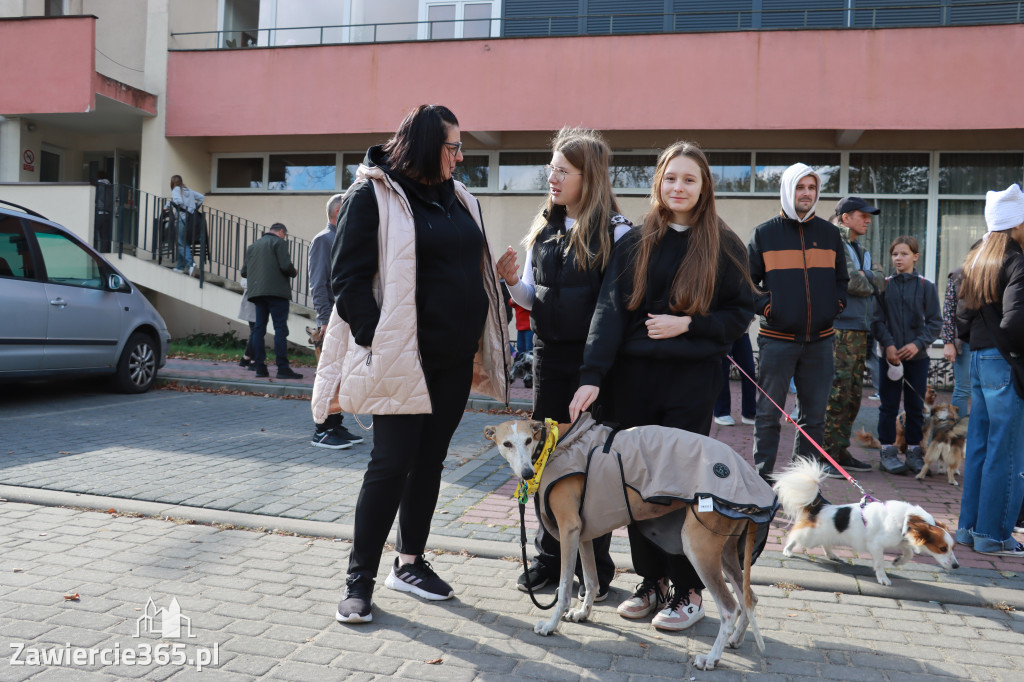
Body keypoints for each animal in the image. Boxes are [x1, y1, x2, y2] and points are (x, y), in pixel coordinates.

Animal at [774, 456, 958, 585]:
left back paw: (832, 555)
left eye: (952, 547)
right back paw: (788, 550)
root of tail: (819, 506)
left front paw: (898, 561)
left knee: (825, 544)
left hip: (825, 535)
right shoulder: (876, 546)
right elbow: (880, 563)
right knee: (795, 537)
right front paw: (883, 578)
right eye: (942, 548)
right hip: (809, 536)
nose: (957, 566)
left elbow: (909, 553)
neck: (905, 521)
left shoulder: (901, 540)